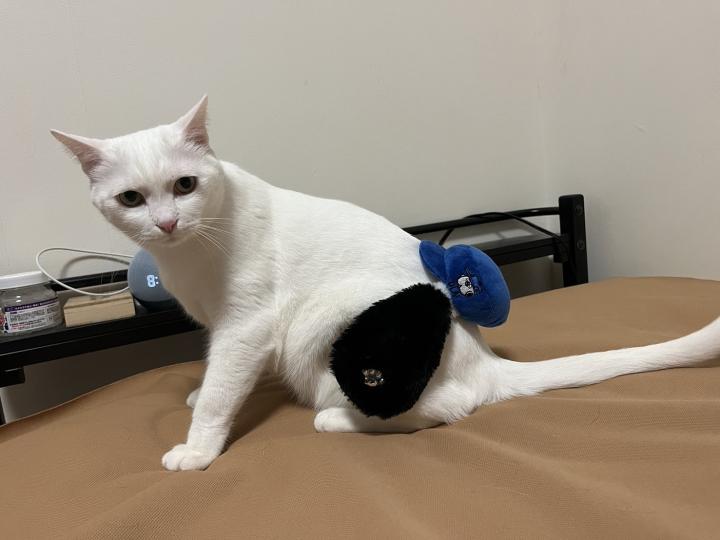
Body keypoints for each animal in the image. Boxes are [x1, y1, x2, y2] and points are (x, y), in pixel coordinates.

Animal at [52, 96, 720, 471]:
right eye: (132, 199)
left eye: (185, 185)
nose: (166, 222)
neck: (194, 252)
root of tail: (484, 362)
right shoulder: (228, 330)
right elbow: (220, 375)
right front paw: (198, 395)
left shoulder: (248, 325)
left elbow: (223, 391)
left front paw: (197, 448)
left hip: (336, 323)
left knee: (442, 410)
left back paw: (336, 420)